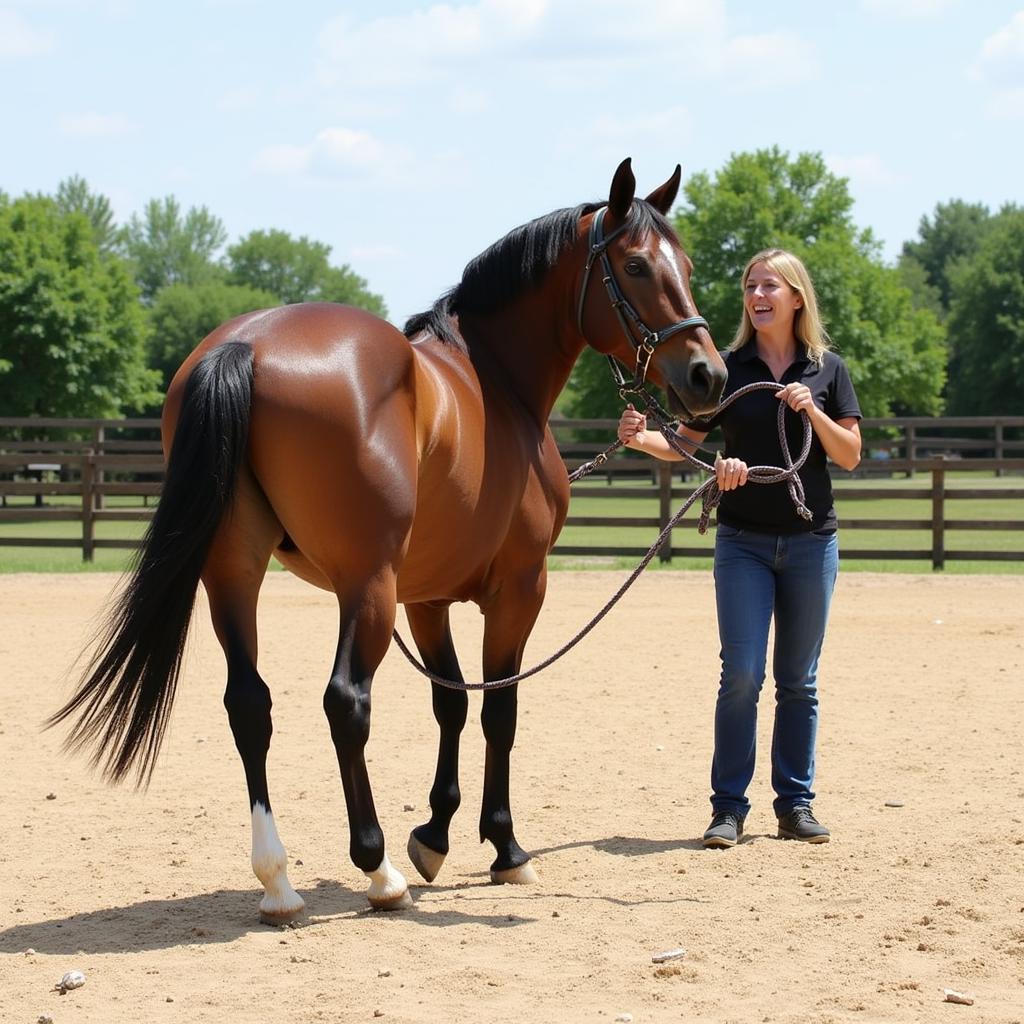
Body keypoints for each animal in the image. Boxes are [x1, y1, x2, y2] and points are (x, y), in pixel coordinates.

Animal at [51, 159, 729, 921]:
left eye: (688, 265)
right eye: (636, 265)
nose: (709, 375)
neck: (495, 383)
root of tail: (246, 344)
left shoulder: (425, 598)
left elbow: (451, 703)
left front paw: (434, 835)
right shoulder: (518, 587)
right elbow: (498, 707)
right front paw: (504, 847)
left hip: (233, 574)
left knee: (249, 704)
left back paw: (278, 880)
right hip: (364, 585)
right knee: (346, 703)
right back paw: (377, 872)